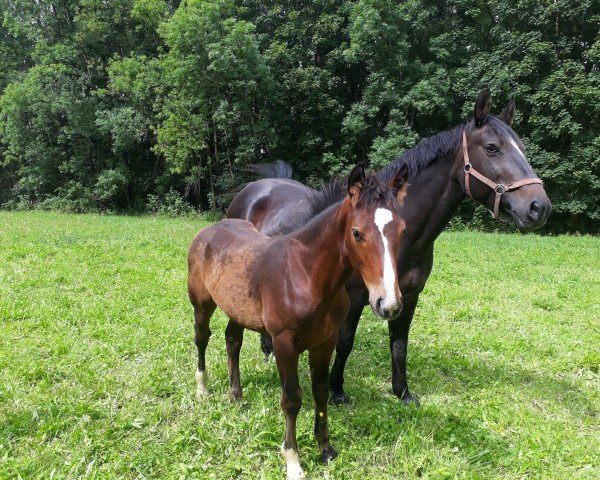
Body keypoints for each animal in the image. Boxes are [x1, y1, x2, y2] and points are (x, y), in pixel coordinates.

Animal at [190, 164, 410, 476]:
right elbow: (291, 398)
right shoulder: (284, 343)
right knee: (201, 338)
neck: (304, 275)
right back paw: (202, 388)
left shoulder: (325, 341)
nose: (388, 304)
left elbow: (320, 389)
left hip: (237, 308)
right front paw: (292, 460)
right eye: (357, 233)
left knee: (232, 340)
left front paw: (326, 449)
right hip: (201, 303)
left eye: (402, 230)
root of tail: (210, 228)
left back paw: (236, 395)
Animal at [227, 91, 552, 408]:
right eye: (492, 147)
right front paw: (338, 392)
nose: (540, 207)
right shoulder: (355, 298)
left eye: (522, 147)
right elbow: (345, 343)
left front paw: (402, 393)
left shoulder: (408, 296)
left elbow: (399, 346)